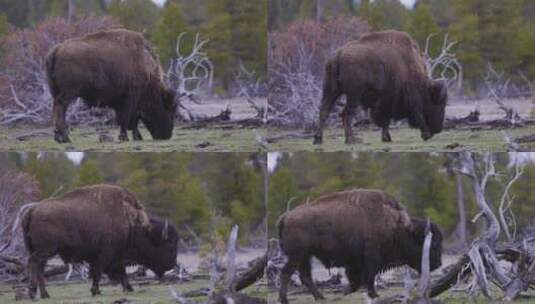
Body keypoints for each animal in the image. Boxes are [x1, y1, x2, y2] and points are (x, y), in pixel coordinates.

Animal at [19, 184, 179, 298]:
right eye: (170, 244)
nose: (172, 265)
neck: (132, 222)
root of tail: (32, 209)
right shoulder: (106, 255)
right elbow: (99, 271)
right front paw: (95, 290)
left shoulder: (115, 257)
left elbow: (120, 273)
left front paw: (129, 288)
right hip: (46, 250)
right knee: (36, 265)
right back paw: (38, 293)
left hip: (41, 251)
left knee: (36, 266)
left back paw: (39, 294)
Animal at [46, 29, 176, 143]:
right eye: (169, 108)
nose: (167, 135)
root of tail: (56, 50)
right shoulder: (130, 99)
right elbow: (126, 119)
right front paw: (125, 137)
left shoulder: (122, 102)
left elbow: (130, 120)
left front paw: (136, 137)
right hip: (69, 93)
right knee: (61, 108)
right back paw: (64, 138)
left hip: (56, 91)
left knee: (56, 107)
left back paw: (59, 137)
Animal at [278, 189, 442, 302]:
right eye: (433, 244)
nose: (438, 264)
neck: (398, 227)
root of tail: (285, 217)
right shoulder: (371, 259)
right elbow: (369, 277)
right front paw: (374, 294)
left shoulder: (356, 263)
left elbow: (357, 280)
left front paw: (345, 291)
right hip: (298, 256)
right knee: (286, 273)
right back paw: (285, 300)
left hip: (305, 256)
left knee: (305, 276)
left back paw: (320, 297)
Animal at [312, 30, 450, 144]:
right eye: (439, 104)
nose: (438, 129)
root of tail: (338, 55)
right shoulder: (410, 97)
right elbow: (417, 115)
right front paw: (426, 135)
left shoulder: (385, 101)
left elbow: (385, 120)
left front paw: (386, 138)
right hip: (353, 95)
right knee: (346, 114)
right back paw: (351, 139)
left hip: (331, 90)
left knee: (324, 111)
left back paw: (318, 139)